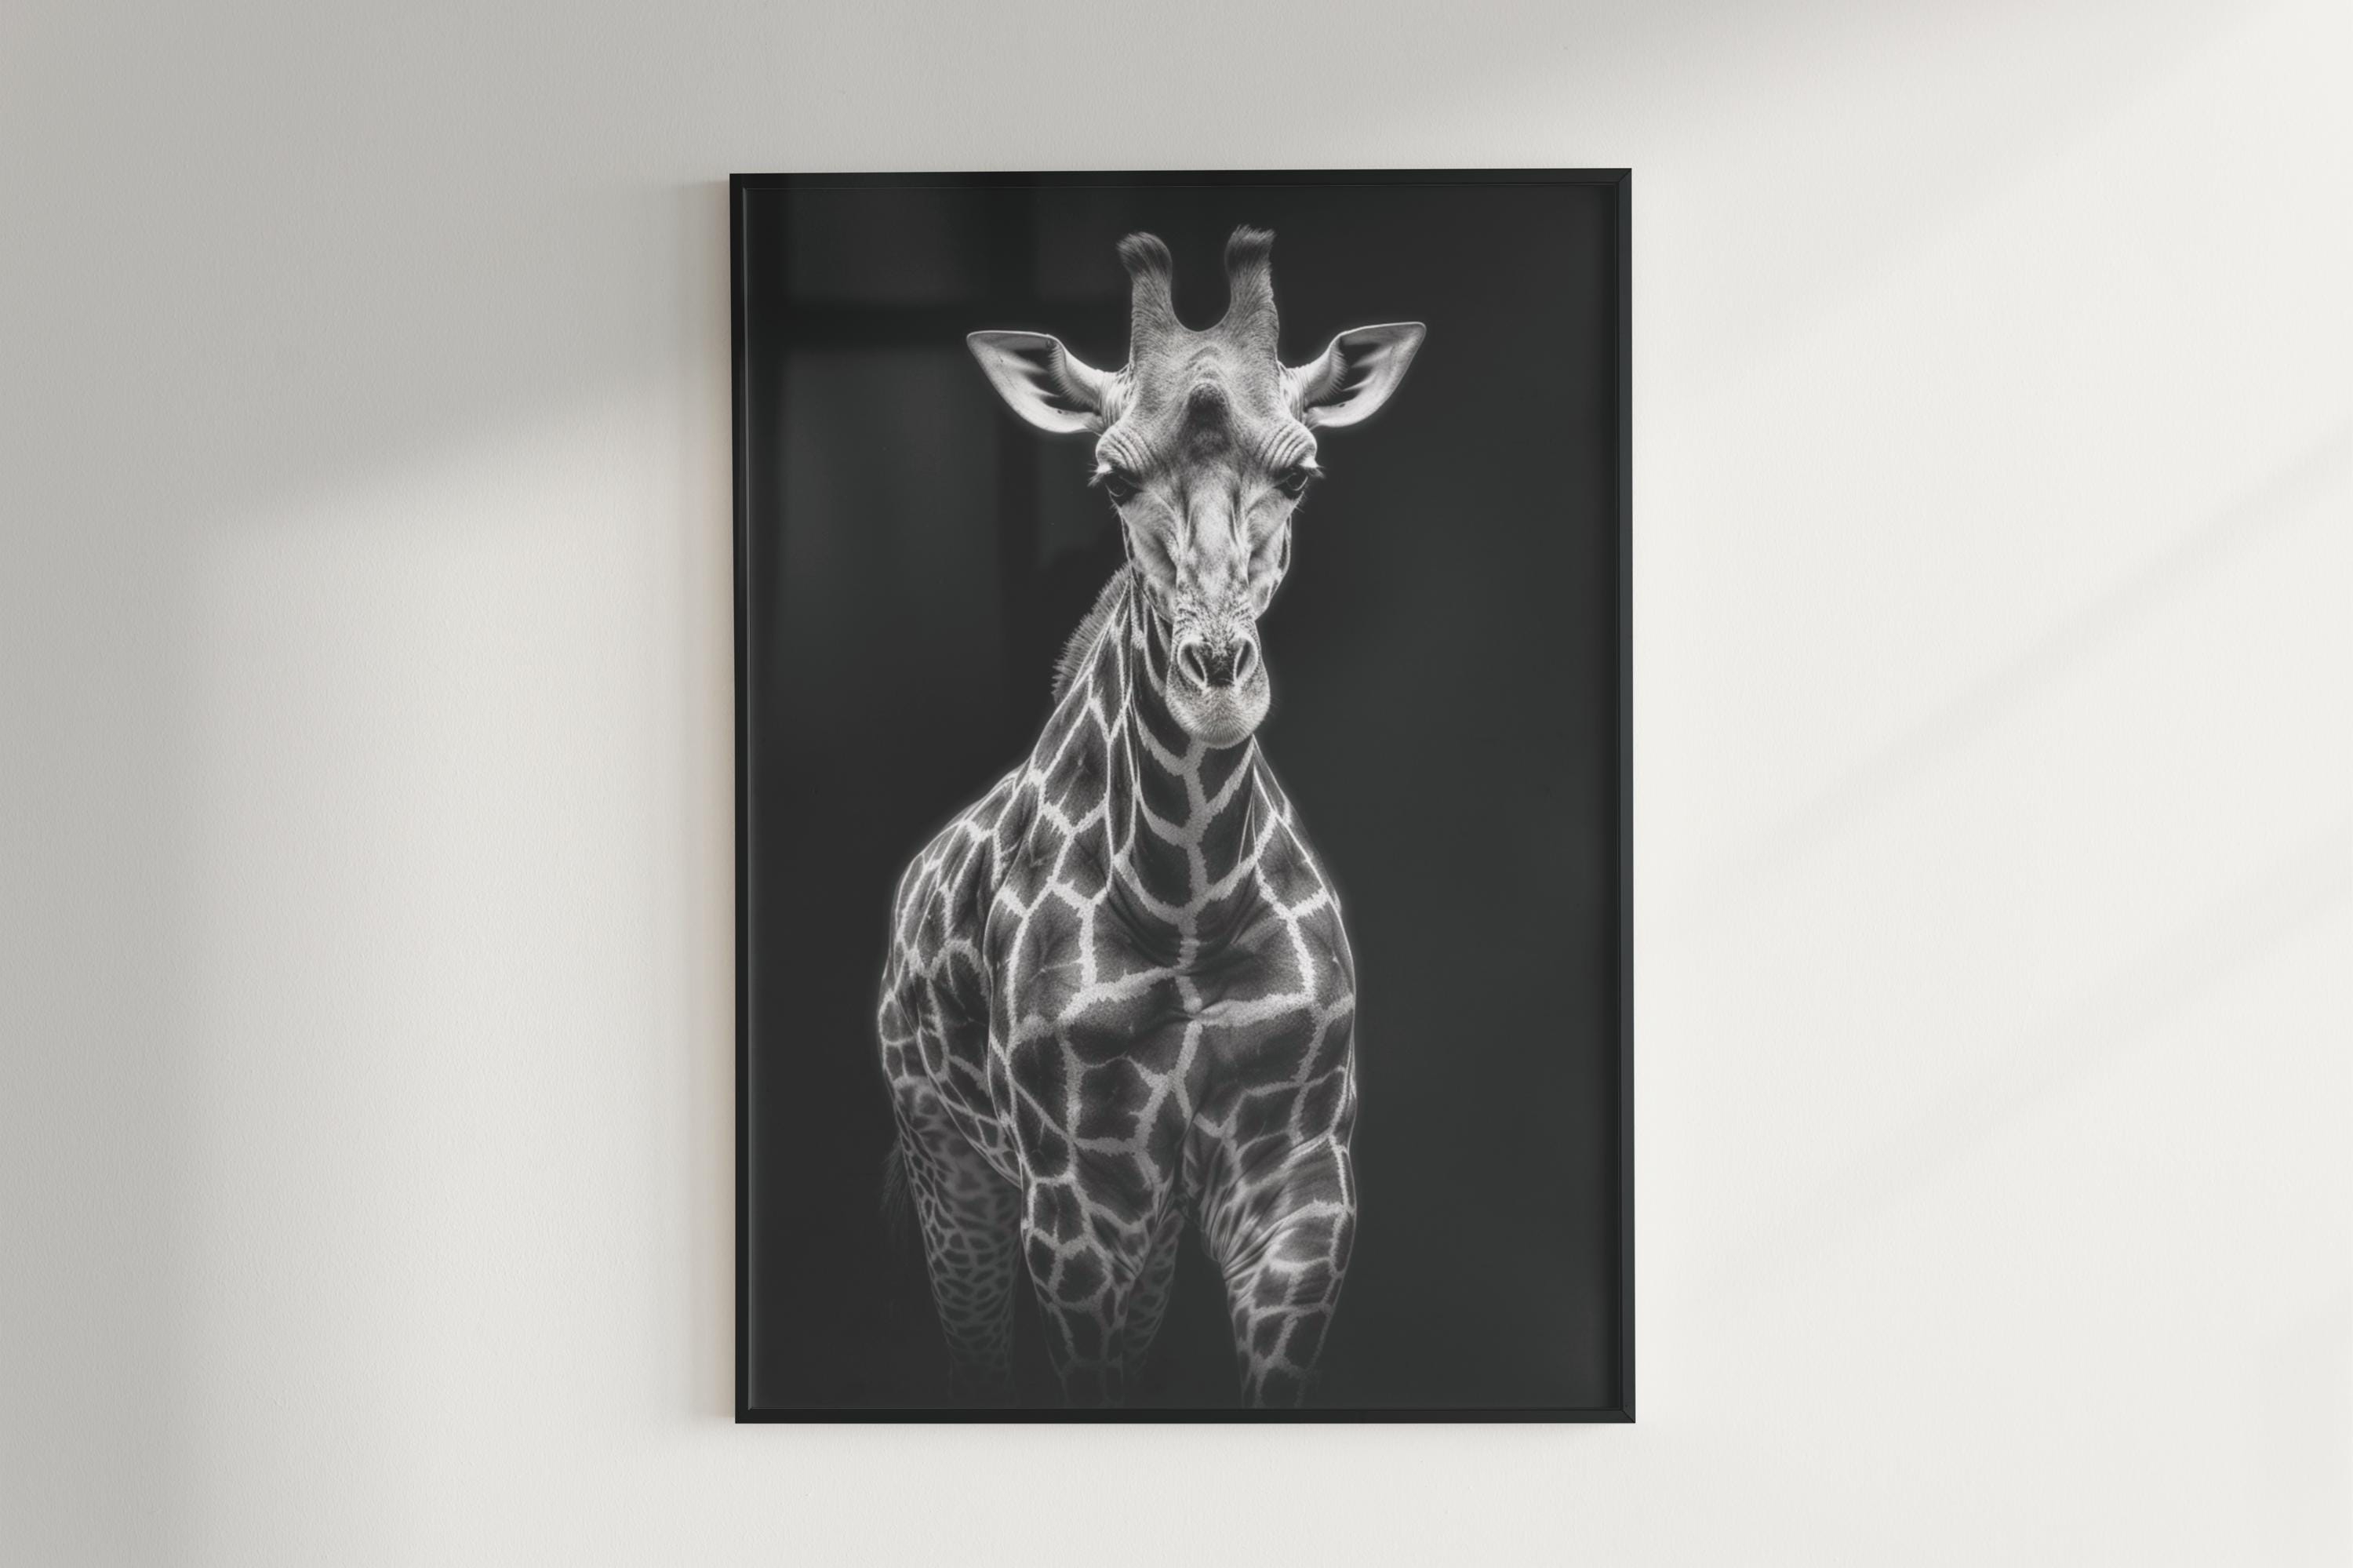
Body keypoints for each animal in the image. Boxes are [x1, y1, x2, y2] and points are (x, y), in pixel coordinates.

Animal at [875, 226, 1424, 1407]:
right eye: (1112, 475)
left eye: (1302, 471)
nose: (1216, 678)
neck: (1186, 905)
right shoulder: (1073, 1198)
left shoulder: (1298, 1178)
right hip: (950, 1162)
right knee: (973, 1349)